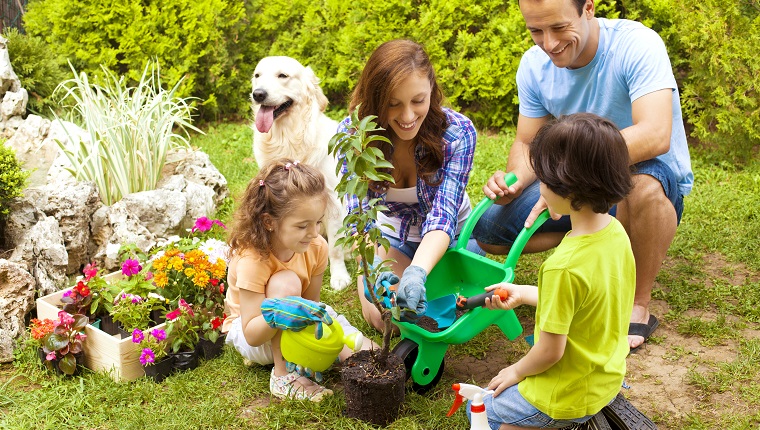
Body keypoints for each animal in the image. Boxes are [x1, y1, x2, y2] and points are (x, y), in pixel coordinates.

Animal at [252, 55, 354, 290]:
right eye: (257, 75)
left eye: (283, 75)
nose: (258, 94)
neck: (288, 138)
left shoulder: (334, 200)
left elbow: (335, 248)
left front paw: (339, 276)